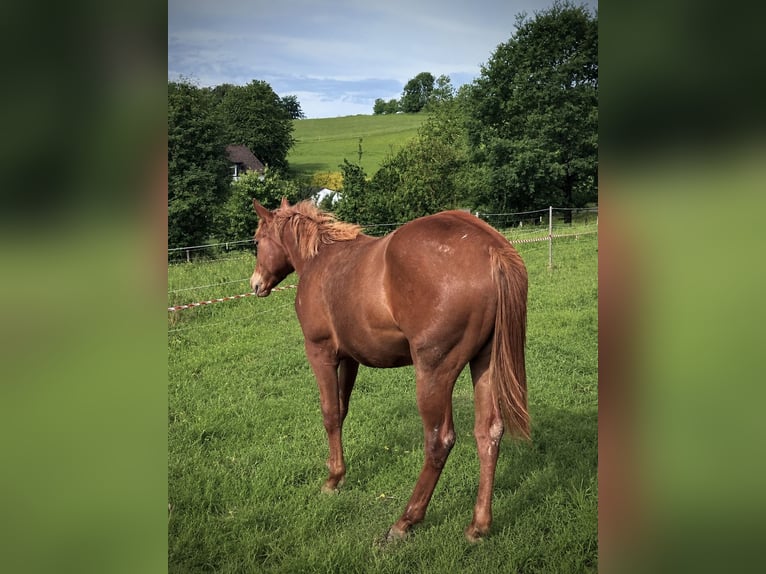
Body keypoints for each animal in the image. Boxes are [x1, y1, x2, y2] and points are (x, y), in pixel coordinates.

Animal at [249, 198, 529, 542]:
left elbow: (329, 413)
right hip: (485, 364)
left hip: (433, 373)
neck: (321, 260)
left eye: (256, 241)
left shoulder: (320, 353)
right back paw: (478, 525)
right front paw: (338, 471)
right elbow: (341, 411)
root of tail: (492, 248)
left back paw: (406, 519)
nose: (256, 284)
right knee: (488, 434)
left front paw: (333, 478)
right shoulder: (350, 358)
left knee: (439, 441)